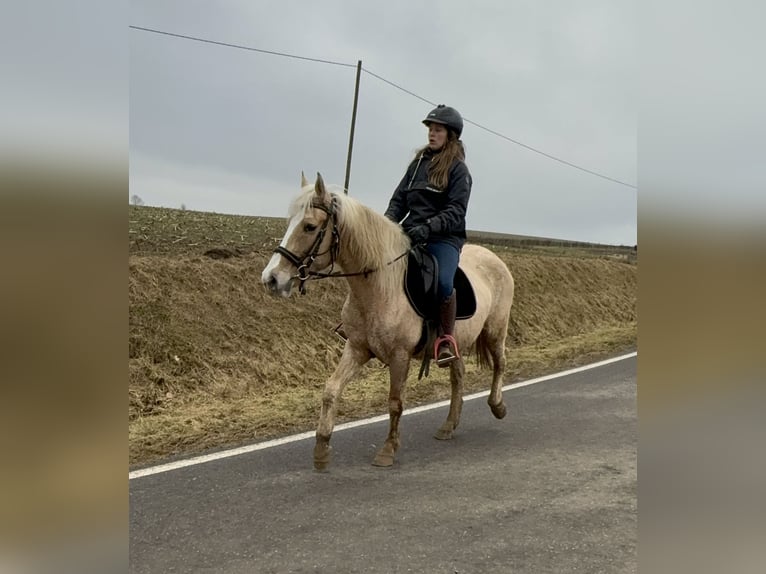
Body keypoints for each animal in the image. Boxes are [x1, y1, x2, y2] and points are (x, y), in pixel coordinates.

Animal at [262, 173, 516, 470]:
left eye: (310, 226)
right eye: (289, 221)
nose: (271, 279)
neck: (380, 286)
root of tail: (494, 258)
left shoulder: (399, 355)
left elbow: (395, 402)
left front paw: (387, 450)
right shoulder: (357, 349)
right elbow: (331, 390)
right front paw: (322, 448)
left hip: (495, 330)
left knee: (500, 363)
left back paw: (497, 406)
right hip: (456, 341)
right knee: (458, 376)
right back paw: (449, 425)